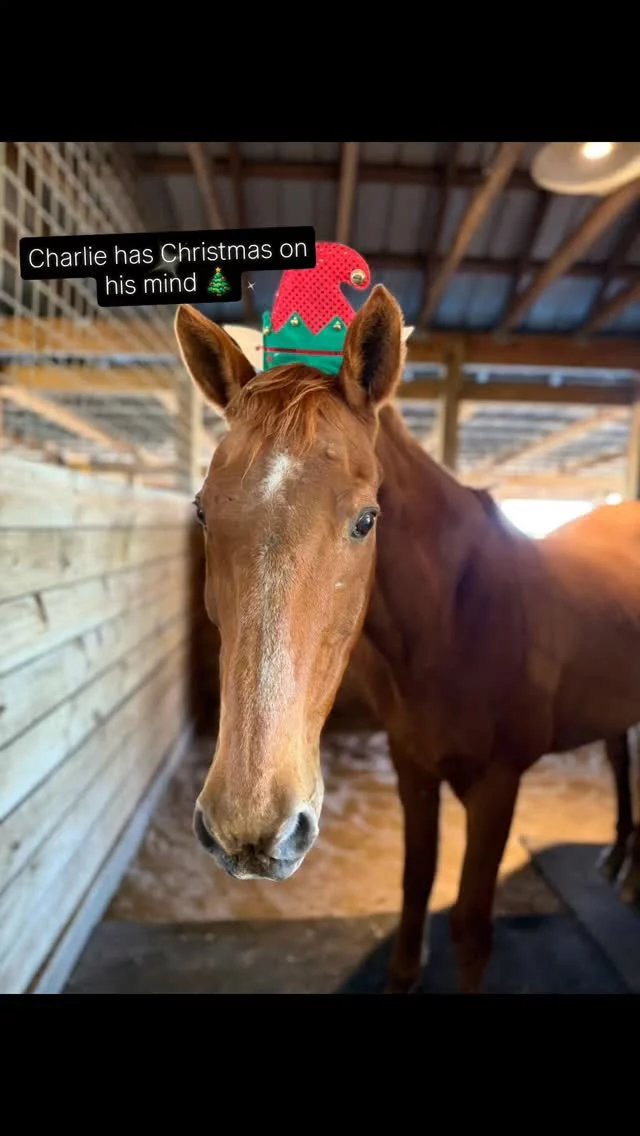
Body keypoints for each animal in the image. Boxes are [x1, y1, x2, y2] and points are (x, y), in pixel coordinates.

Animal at [174, 285, 640, 995]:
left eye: (367, 519)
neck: (455, 620)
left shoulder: (496, 787)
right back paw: (616, 857)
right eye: (203, 510)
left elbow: (471, 929)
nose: (249, 827)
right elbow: (414, 887)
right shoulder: (411, 768)